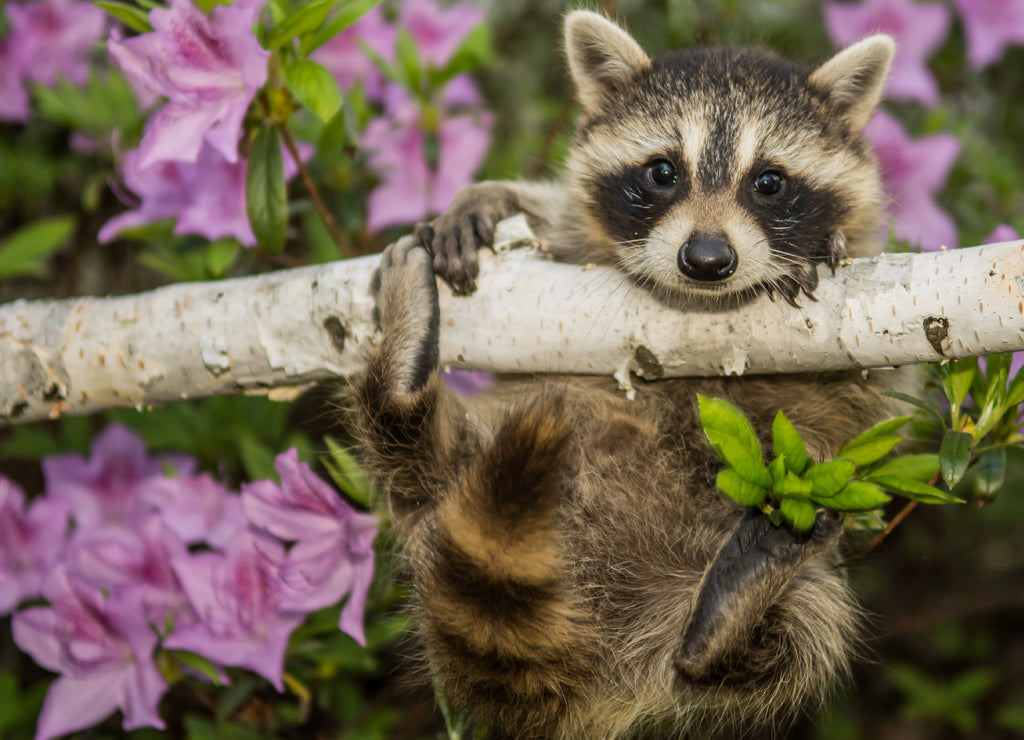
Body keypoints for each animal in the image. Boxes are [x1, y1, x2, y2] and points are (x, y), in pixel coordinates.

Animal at [358, 11, 897, 740]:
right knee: (409, 457)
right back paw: (401, 381)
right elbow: (551, 219)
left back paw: (727, 620)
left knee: (795, 638)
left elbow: (866, 388)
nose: (707, 259)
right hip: (459, 483)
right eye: (662, 171)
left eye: (769, 182)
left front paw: (821, 247)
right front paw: (488, 196)